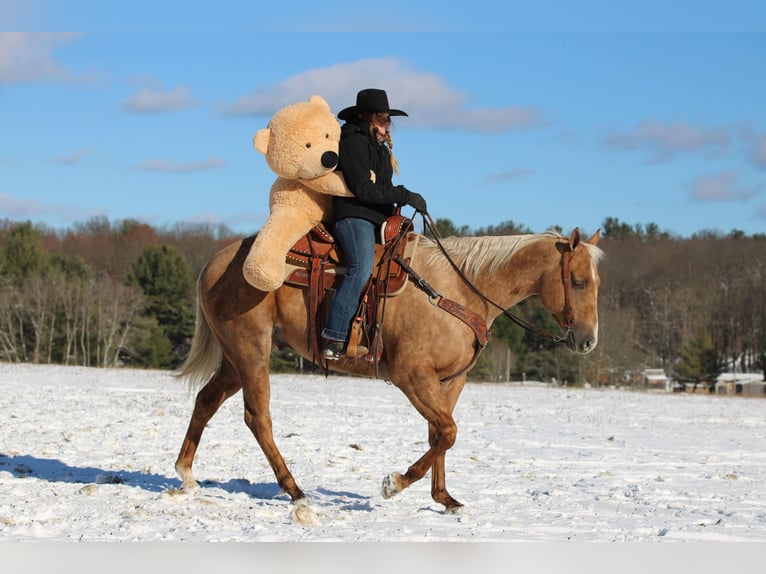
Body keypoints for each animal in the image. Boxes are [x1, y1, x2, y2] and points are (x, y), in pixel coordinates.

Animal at [173, 225, 603, 521]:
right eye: (578, 282)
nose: (588, 341)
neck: (459, 291)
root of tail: (214, 263)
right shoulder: (411, 377)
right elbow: (448, 432)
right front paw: (393, 485)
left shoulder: (450, 381)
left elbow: (440, 435)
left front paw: (445, 499)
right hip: (252, 352)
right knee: (257, 417)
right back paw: (295, 490)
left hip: (235, 360)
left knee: (206, 401)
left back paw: (187, 475)